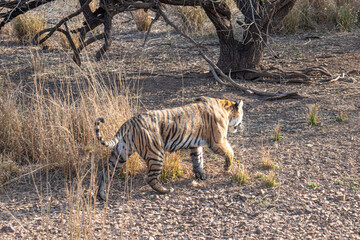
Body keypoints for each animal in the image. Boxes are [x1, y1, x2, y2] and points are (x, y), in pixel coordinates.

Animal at [94, 96, 243, 201]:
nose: (241, 126)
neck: (225, 107)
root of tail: (130, 122)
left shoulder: (196, 145)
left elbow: (198, 160)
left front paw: (201, 175)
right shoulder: (218, 141)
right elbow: (230, 152)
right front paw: (227, 167)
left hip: (121, 153)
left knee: (105, 172)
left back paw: (101, 195)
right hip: (155, 153)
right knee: (150, 178)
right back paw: (166, 190)